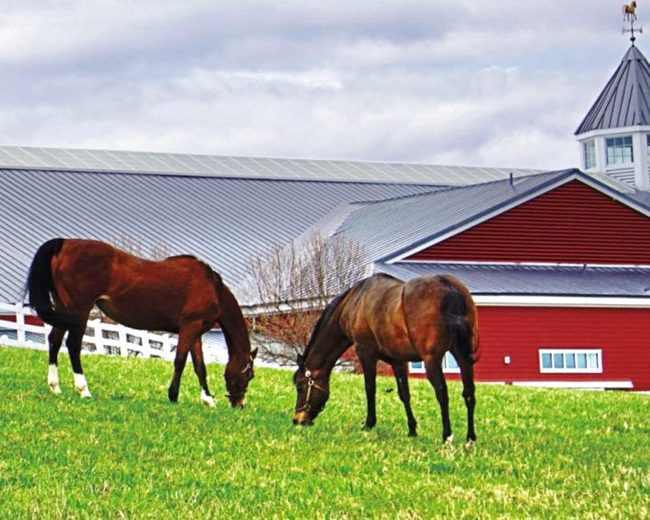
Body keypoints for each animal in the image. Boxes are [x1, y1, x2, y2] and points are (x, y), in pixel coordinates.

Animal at [26, 238, 256, 408]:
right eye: (250, 374)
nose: (239, 404)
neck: (212, 288)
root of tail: (64, 243)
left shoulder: (196, 332)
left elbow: (200, 367)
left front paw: (208, 400)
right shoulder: (190, 327)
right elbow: (180, 362)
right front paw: (173, 396)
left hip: (64, 310)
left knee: (54, 341)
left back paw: (55, 387)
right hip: (79, 311)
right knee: (73, 346)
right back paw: (84, 390)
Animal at [292, 270, 478, 444]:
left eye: (300, 386)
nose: (297, 420)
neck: (355, 301)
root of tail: (449, 288)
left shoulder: (365, 352)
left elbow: (370, 388)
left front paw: (369, 424)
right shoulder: (398, 361)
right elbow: (404, 394)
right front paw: (412, 430)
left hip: (432, 360)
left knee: (442, 393)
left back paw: (447, 436)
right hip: (463, 357)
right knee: (469, 392)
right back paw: (470, 438)